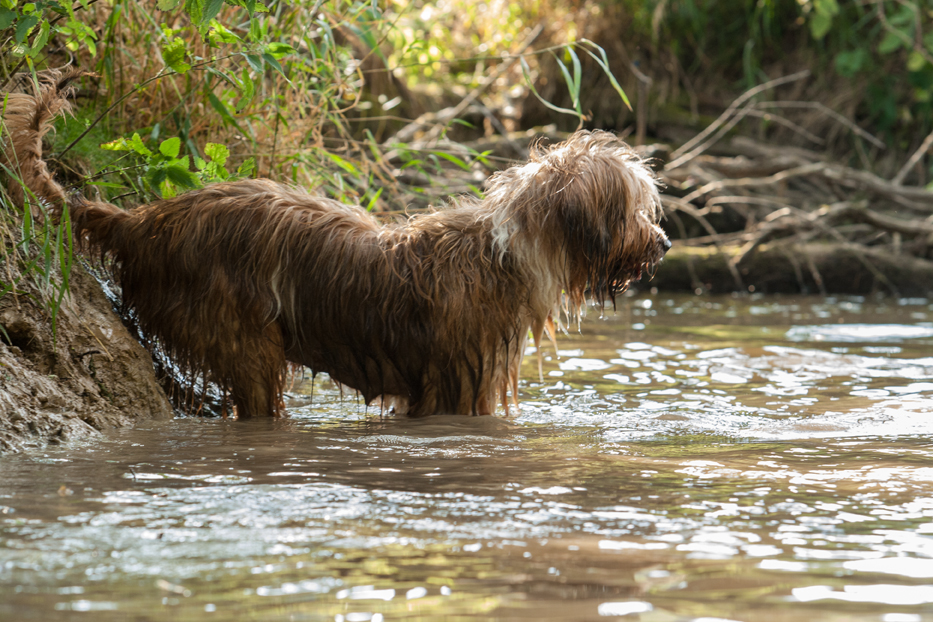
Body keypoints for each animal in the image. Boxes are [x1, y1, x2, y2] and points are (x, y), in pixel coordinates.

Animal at [3, 71, 670, 418]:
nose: (663, 244)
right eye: (635, 209)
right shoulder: (459, 389)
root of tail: (145, 220)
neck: (511, 249)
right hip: (244, 341)